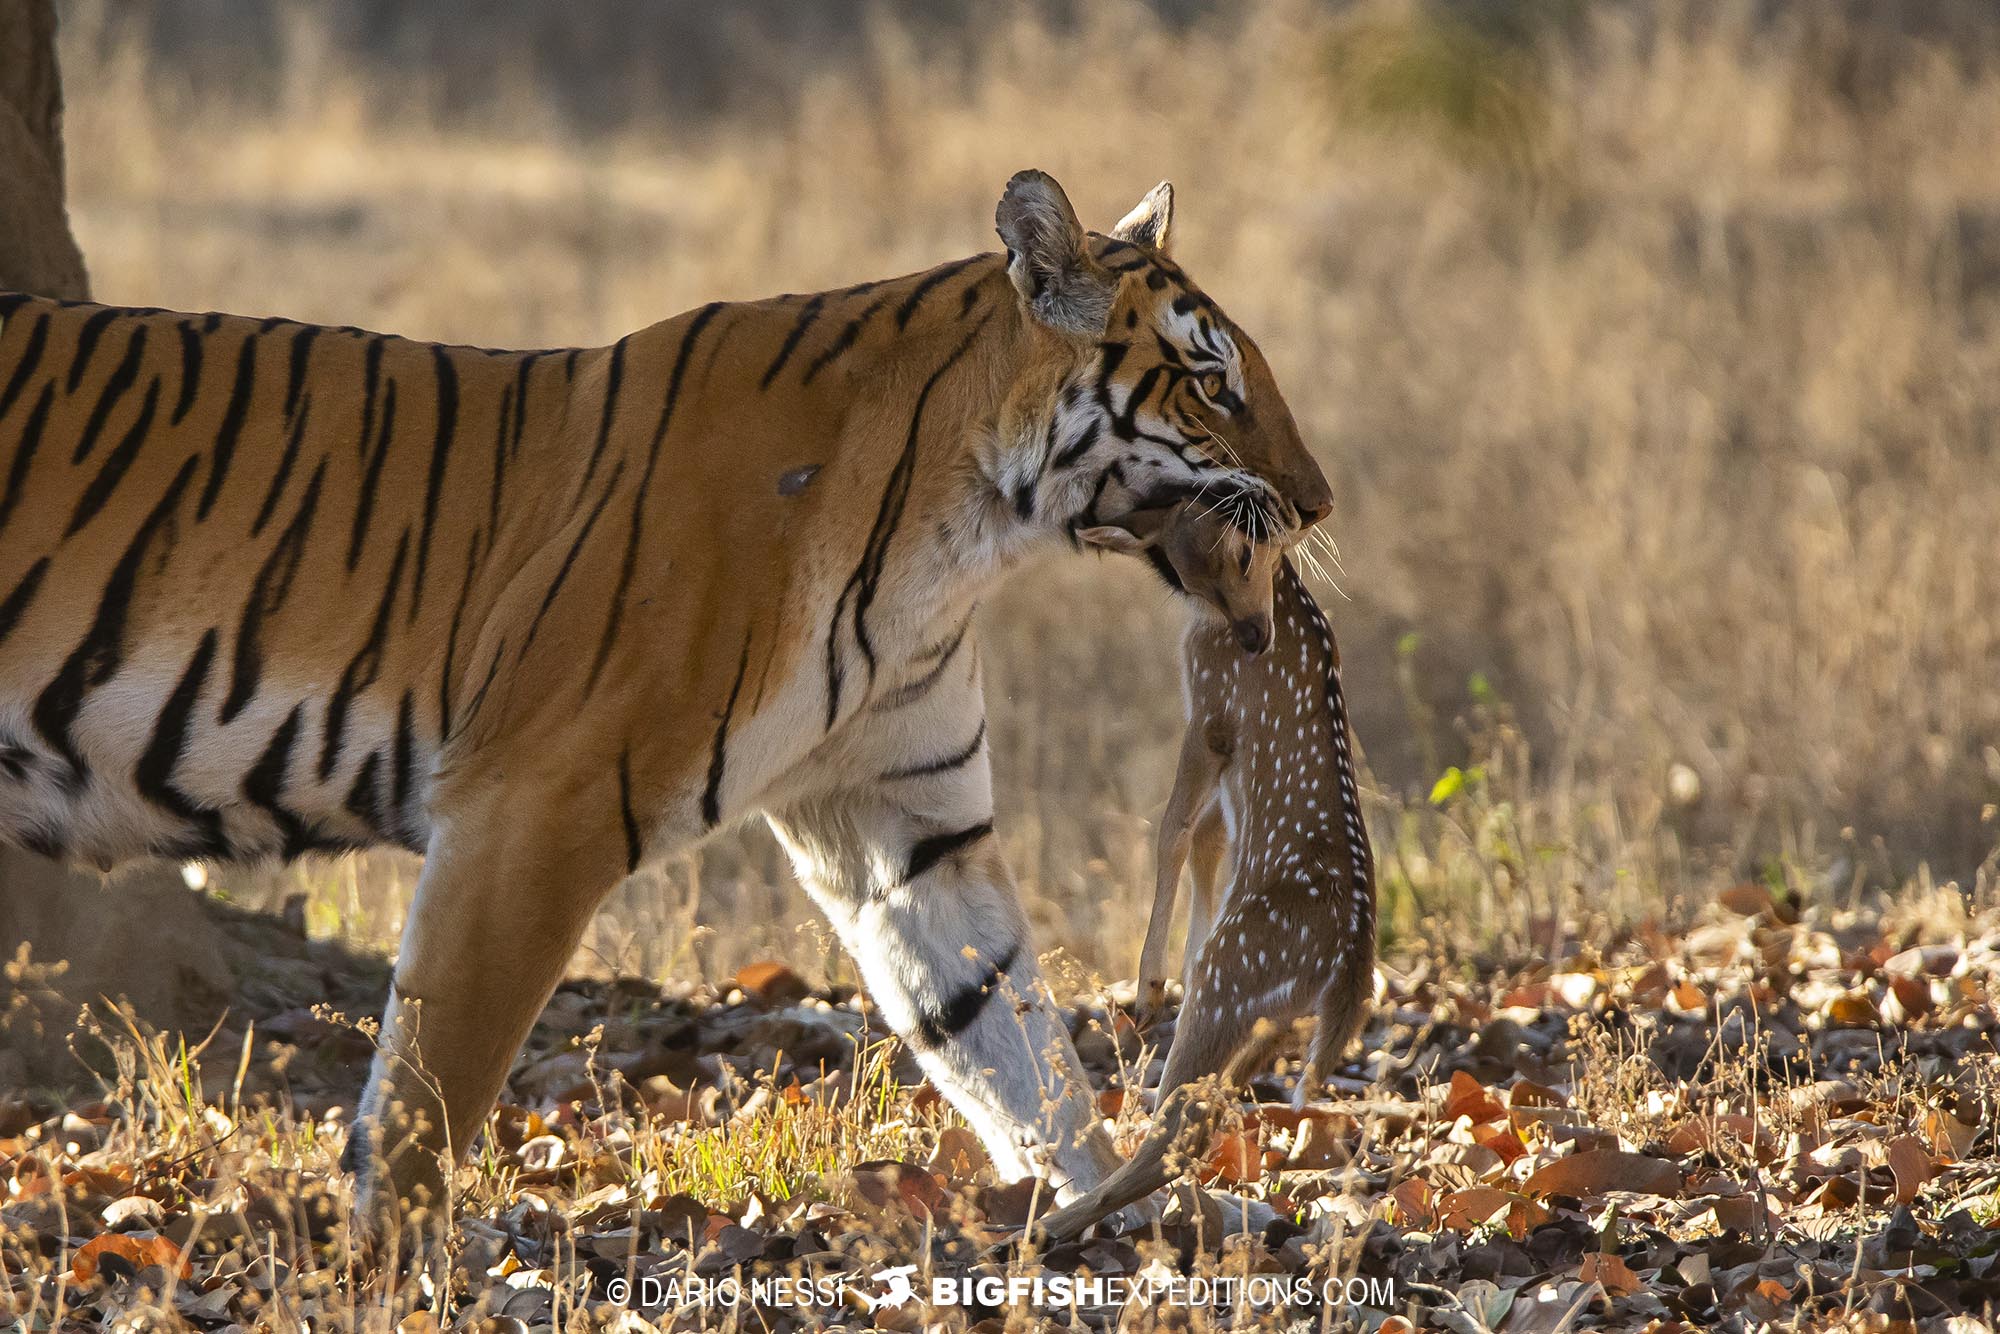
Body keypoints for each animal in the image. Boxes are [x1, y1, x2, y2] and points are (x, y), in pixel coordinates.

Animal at [3, 170, 1344, 1232]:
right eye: (1210, 382)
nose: (1320, 501)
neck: (967, 530)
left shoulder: (909, 819)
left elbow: (1012, 1041)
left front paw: (1118, 1202)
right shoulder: (530, 809)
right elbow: (433, 1089)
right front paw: (384, 1268)